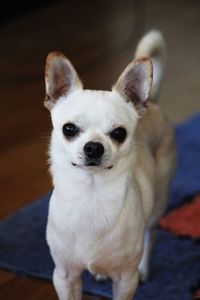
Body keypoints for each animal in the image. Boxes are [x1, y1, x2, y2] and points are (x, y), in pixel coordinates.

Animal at [45, 31, 177, 300]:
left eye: (119, 133)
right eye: (69, 129)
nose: (94, 147)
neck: (91, 194)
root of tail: (151, 101)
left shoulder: (125, 280)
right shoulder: (64, 275)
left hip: (158, 204)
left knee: (151, 235)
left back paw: (145, 268)